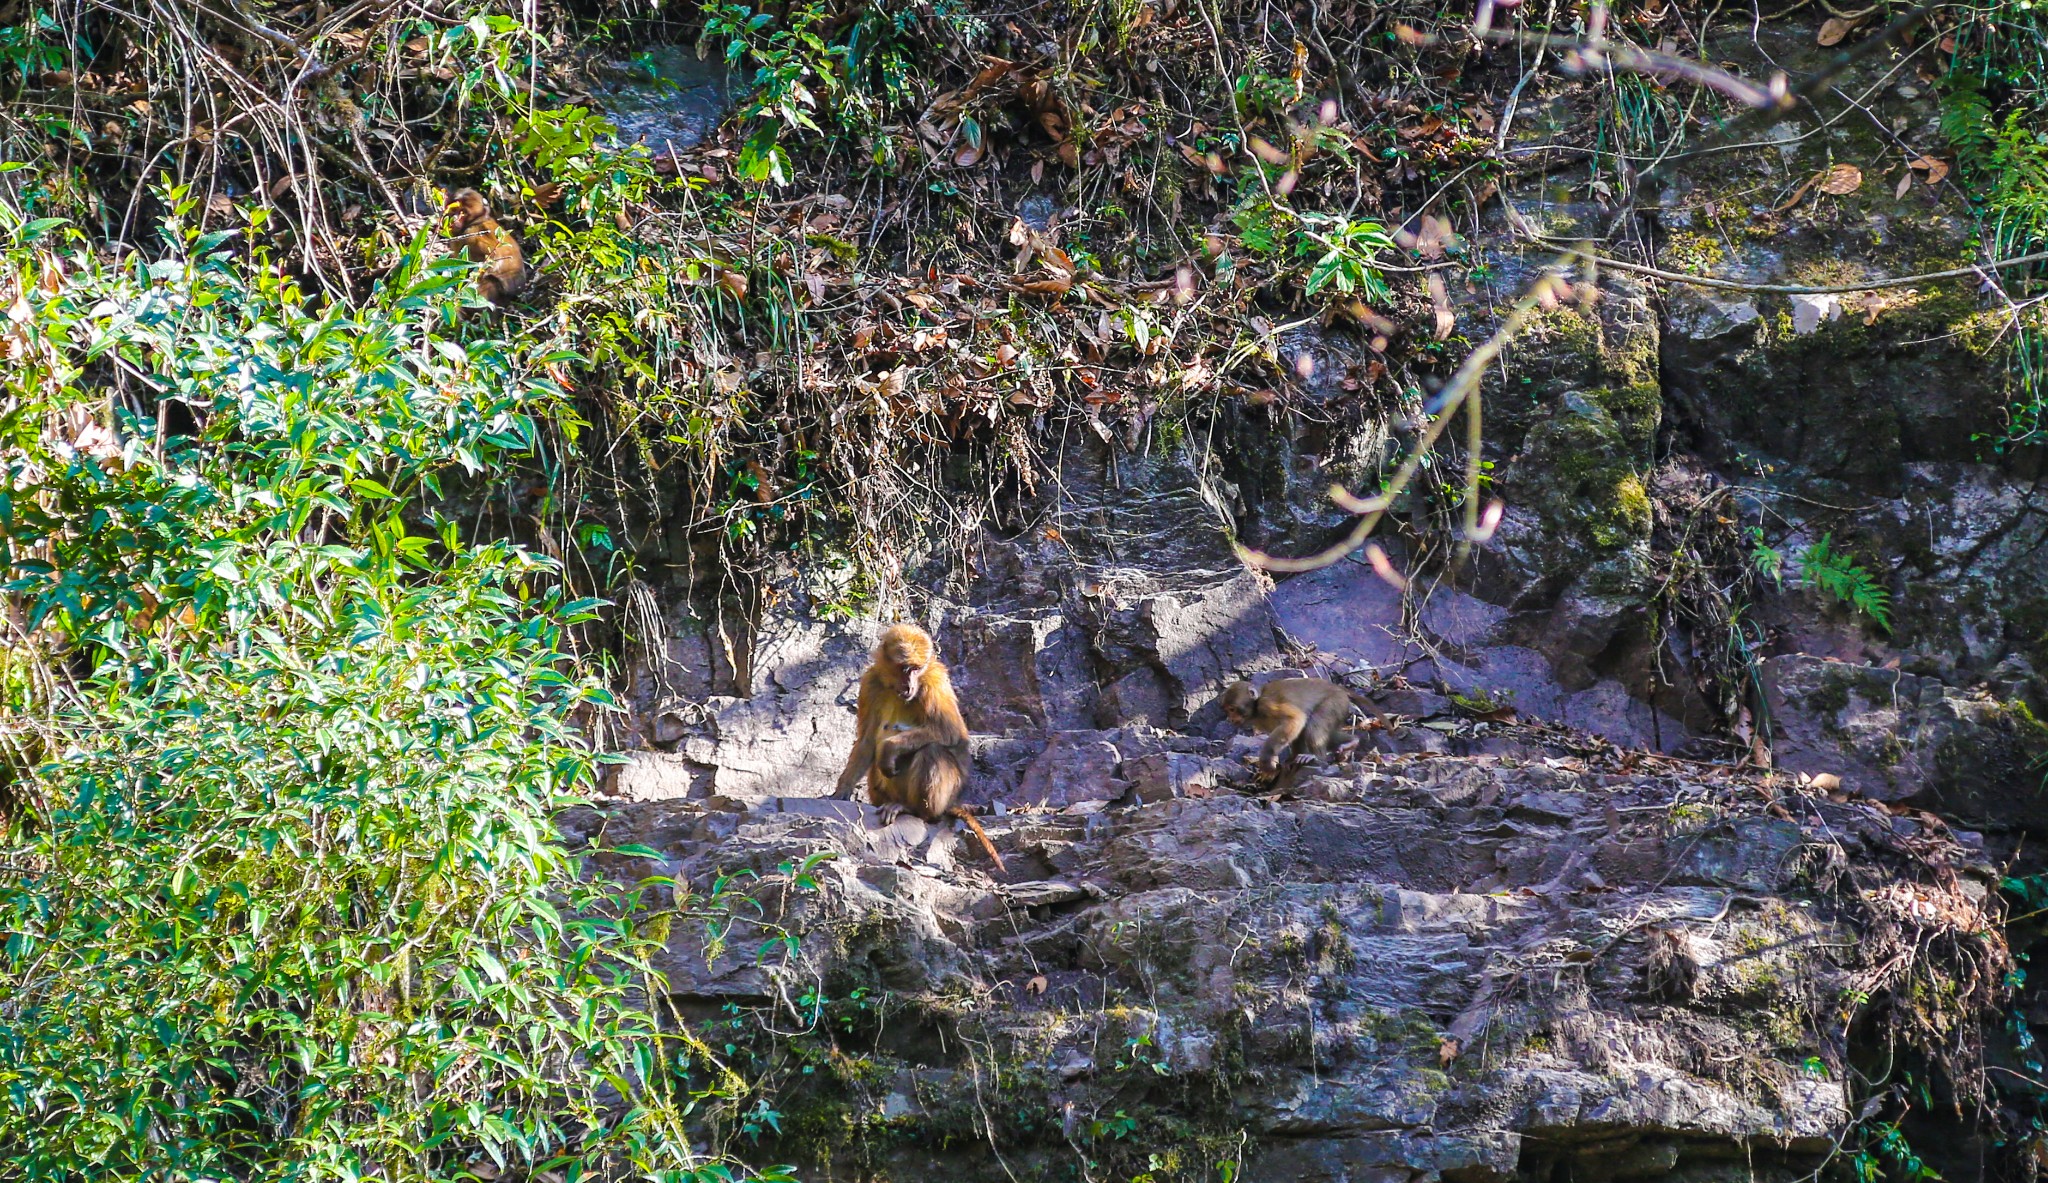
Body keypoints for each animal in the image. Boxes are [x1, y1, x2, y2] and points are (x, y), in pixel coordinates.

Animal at [823, 622, 999, 871]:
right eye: (906, 669)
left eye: (917, 670)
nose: (910, 685)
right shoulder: (871, 682)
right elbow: (867, 740)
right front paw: (842, 791)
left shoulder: (934, 680)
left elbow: (950, 732)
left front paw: (889, 749)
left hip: (945, 794)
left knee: (933, 751)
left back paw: (913, 810)